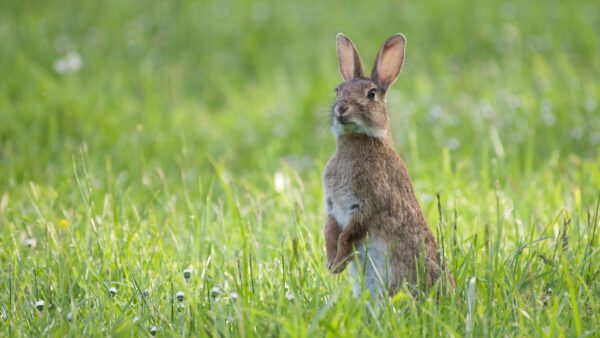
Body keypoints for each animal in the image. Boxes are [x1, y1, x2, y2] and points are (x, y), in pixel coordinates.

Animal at [324, 33, 454, 298]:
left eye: (371, 93)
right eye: (338, 90)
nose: (341, 109)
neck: (357, 141)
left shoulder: (366, 205)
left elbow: (348, 235)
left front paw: (339, 262)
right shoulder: (332, 207)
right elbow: (330, 231)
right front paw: (332, 263)